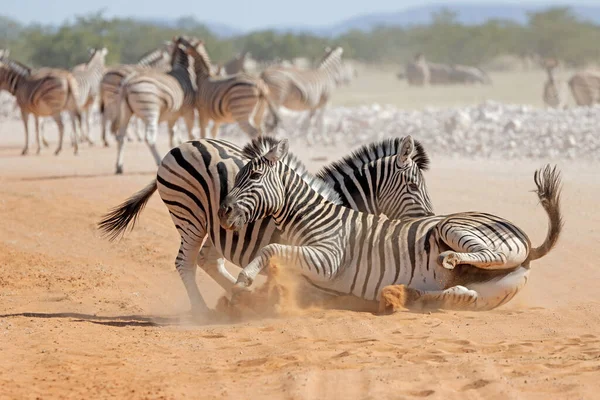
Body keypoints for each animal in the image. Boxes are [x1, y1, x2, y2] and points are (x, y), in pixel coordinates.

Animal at [97, 136, 436, 314]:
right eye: (413, 186)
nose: (428, 221)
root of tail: (183, 144)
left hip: (217, 228)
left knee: (209, 260)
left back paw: (241, 297)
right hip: (189, 216)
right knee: (185, 262)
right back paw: (203, 310)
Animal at [111, 36, 196, 174]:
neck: (181, 69)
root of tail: (127, 82)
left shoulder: (173, 116)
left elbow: (172, 134)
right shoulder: (188, 111)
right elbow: (191, 133)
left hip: (126, 112)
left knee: (121, 137)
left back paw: (119, 166)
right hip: (150, 110)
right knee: (149, 138)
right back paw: (158, 161)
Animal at [218, 138, 564, 312]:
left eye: (254, 176)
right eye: (238, 175)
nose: (223, 211)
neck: (312, 215)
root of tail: (528, 244)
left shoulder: (329, 259)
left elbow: (272, 249)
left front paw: (244, 279)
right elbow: (276, 258)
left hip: (455, 227)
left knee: (489, 255)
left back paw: (448, 258)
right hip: (489, 291)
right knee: (459, 294)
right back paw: (403, 294)